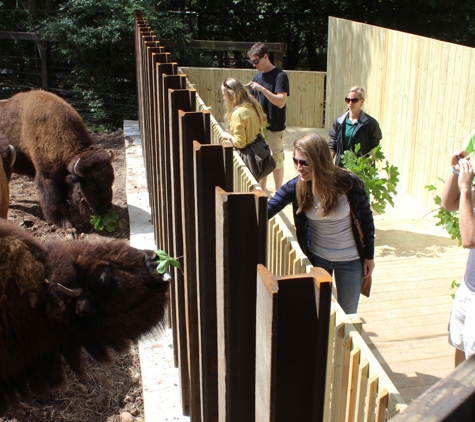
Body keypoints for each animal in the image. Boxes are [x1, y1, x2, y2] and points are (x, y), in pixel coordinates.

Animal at [0, 90, 115, 232]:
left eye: (111, 180)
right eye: (91, 185)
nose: (107, 210)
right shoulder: (47, 177)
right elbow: (57, 202)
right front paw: (66, 224)